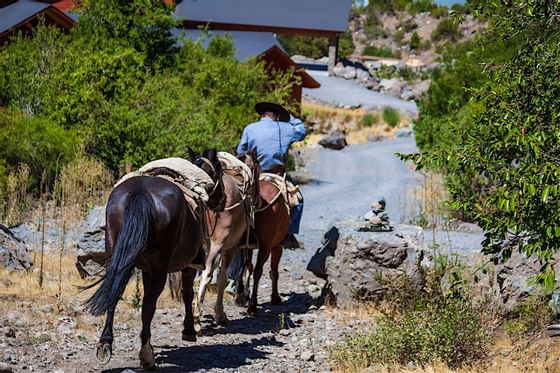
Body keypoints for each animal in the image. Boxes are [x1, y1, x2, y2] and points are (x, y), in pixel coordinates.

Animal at [83, 150, 223, 370]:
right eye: (220, 170)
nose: (223, 200)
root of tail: (140, 192)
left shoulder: (147, 269)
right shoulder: (188, 266)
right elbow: (187, 294)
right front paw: (189, 331)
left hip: (119, 259)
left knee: (114, 294)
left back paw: (105, 344)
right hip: (160, 270)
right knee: (149, 305)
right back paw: (147, 356)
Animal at [190, 150, 260, 332]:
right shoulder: (229, 247)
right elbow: (221, 276)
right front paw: (219, 314)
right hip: (219, 245)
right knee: (207, 274)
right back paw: (196, 320)